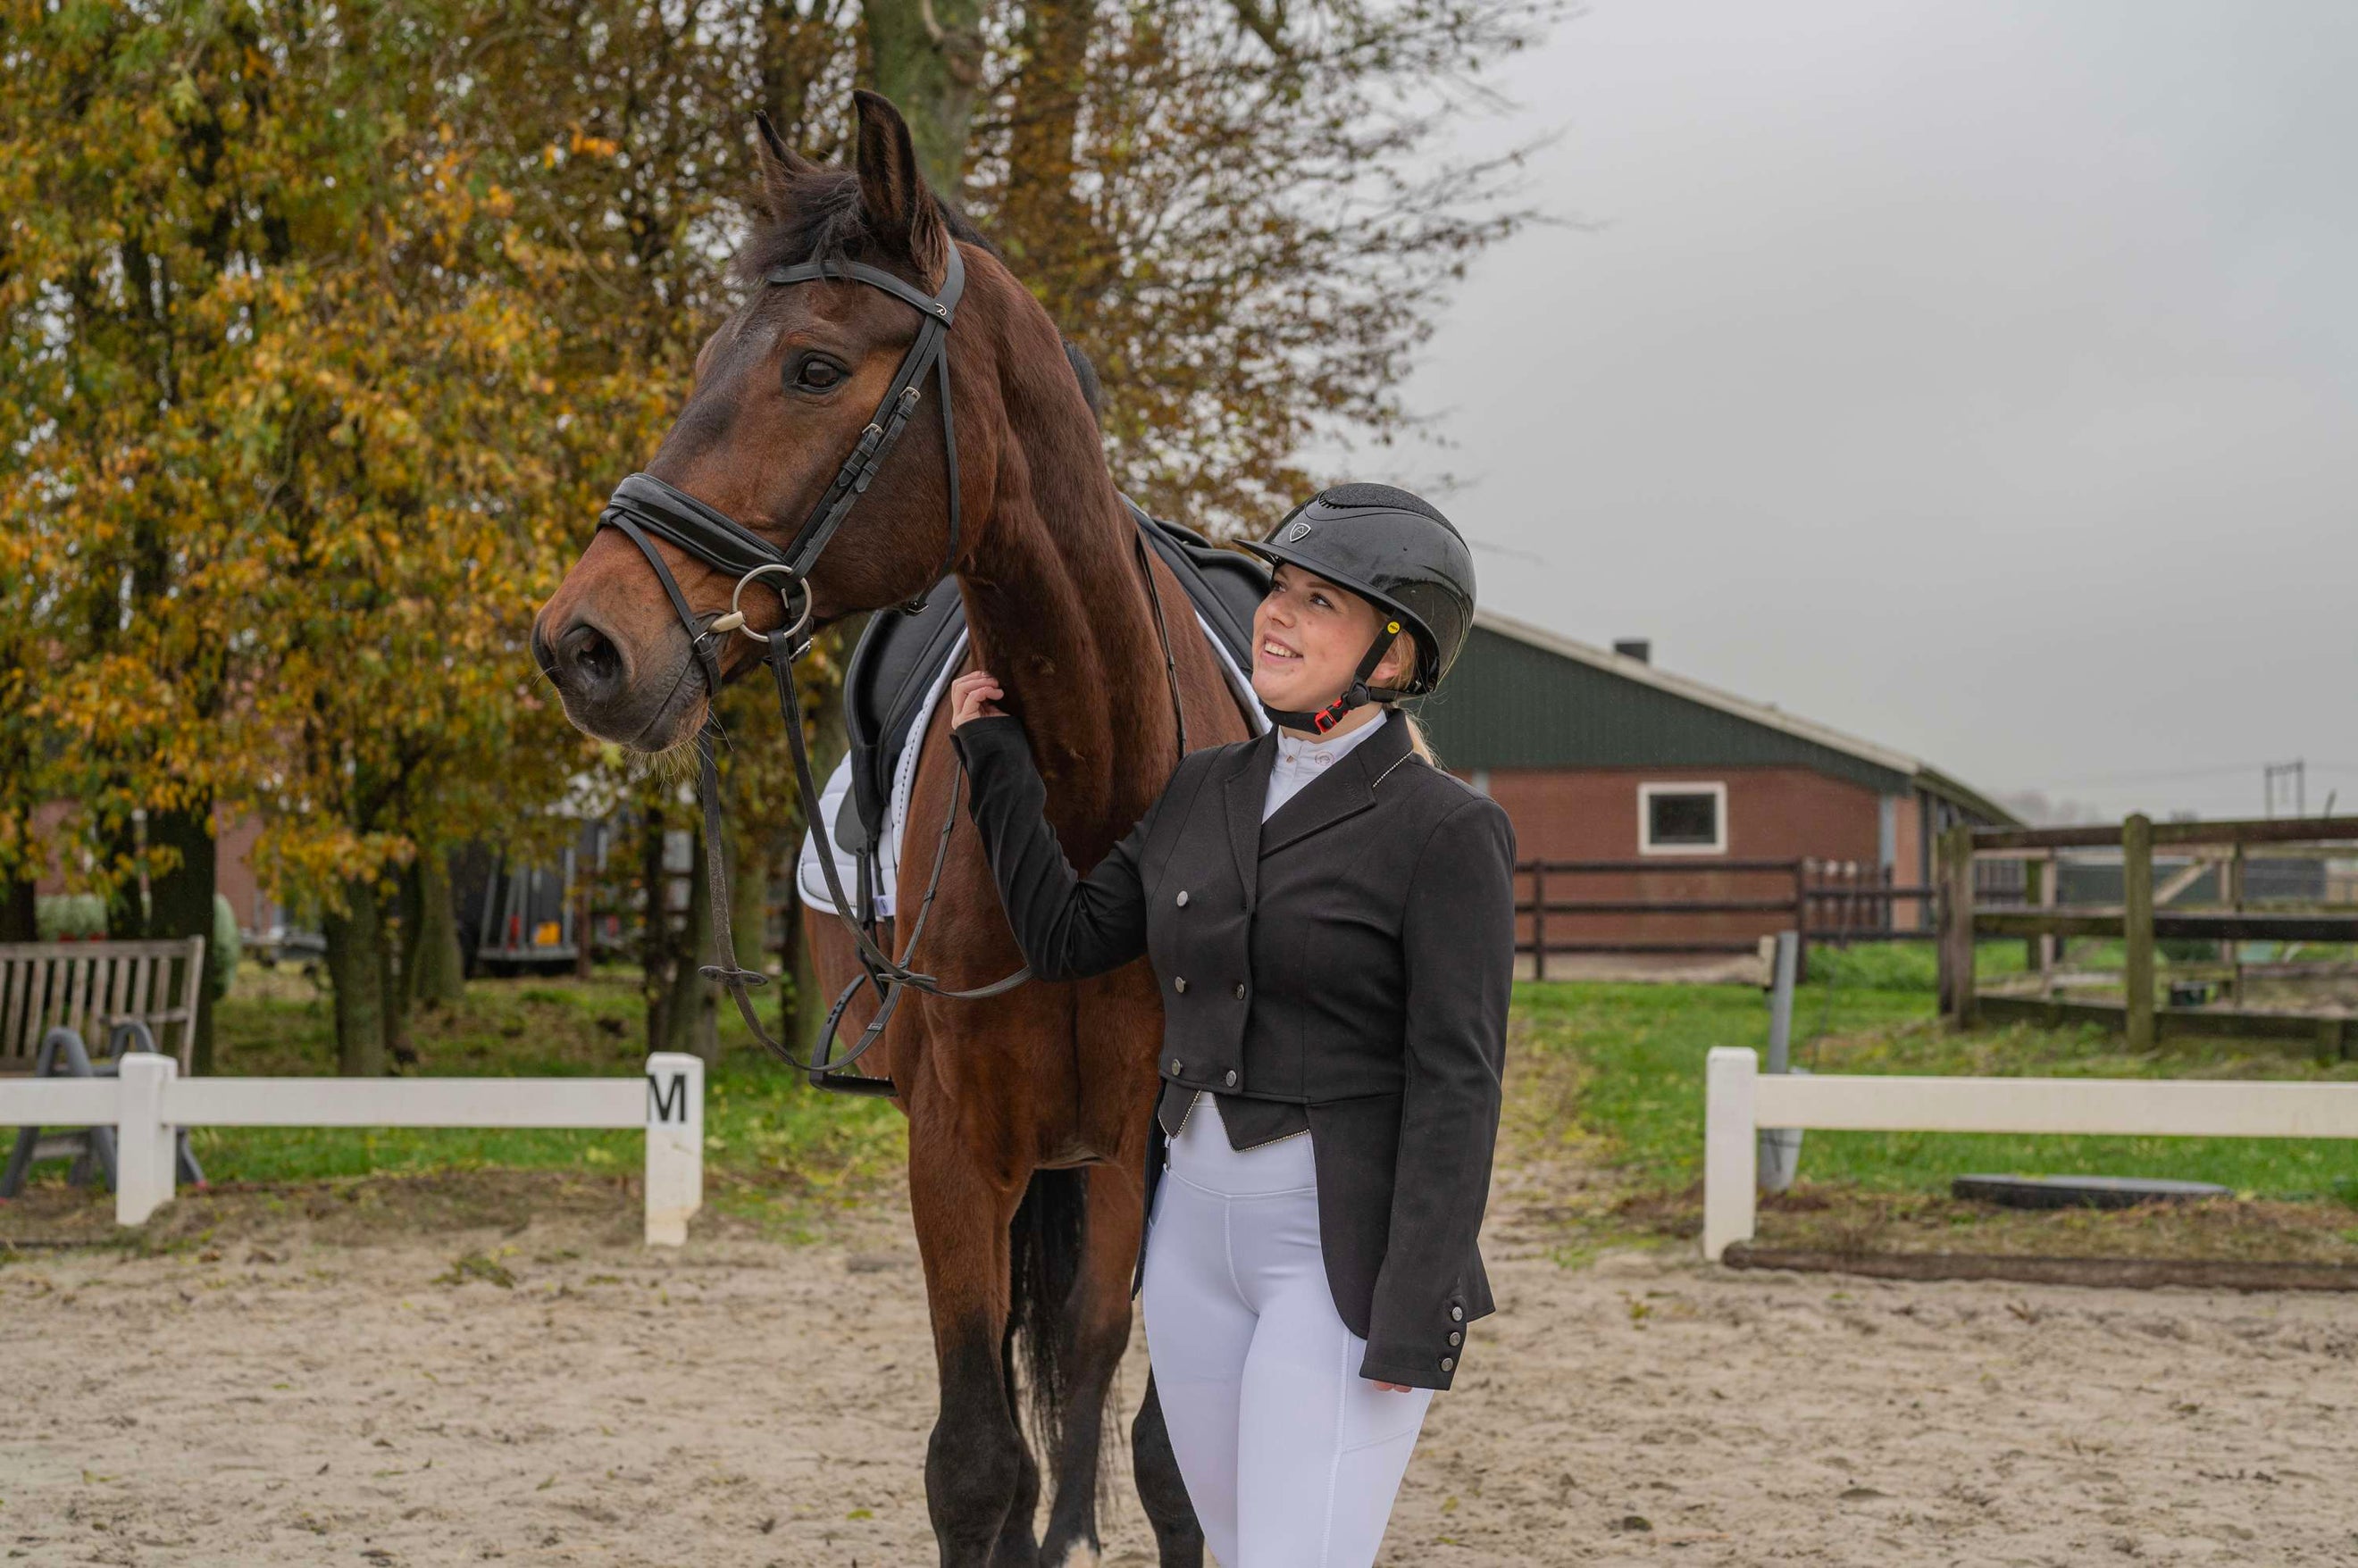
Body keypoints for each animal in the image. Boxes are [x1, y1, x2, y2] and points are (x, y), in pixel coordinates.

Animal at [533, 91, 1252, 1566]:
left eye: (813, 368)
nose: (582, 643)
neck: (1091, 806)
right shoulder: (956, 1153)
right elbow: (978, 1468)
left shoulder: (1161, 1151)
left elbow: (1163, 1461)